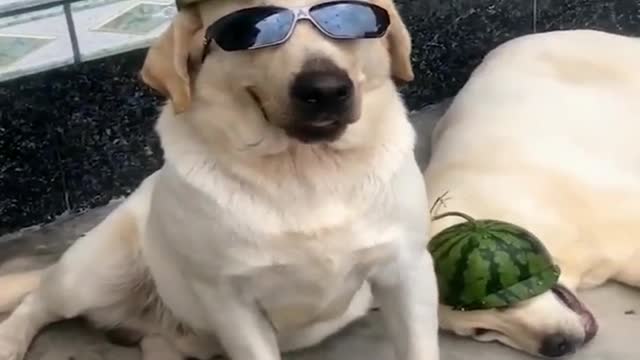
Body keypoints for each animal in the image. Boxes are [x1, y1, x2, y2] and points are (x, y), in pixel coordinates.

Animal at [0, 0, 440, 360]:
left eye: (349, 18)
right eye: (252, 30)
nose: (326, 90)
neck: (304, 171)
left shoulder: (408, 270)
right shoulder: (234, 303)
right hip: (93, 274)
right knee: (39, 299)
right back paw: (10, 340)